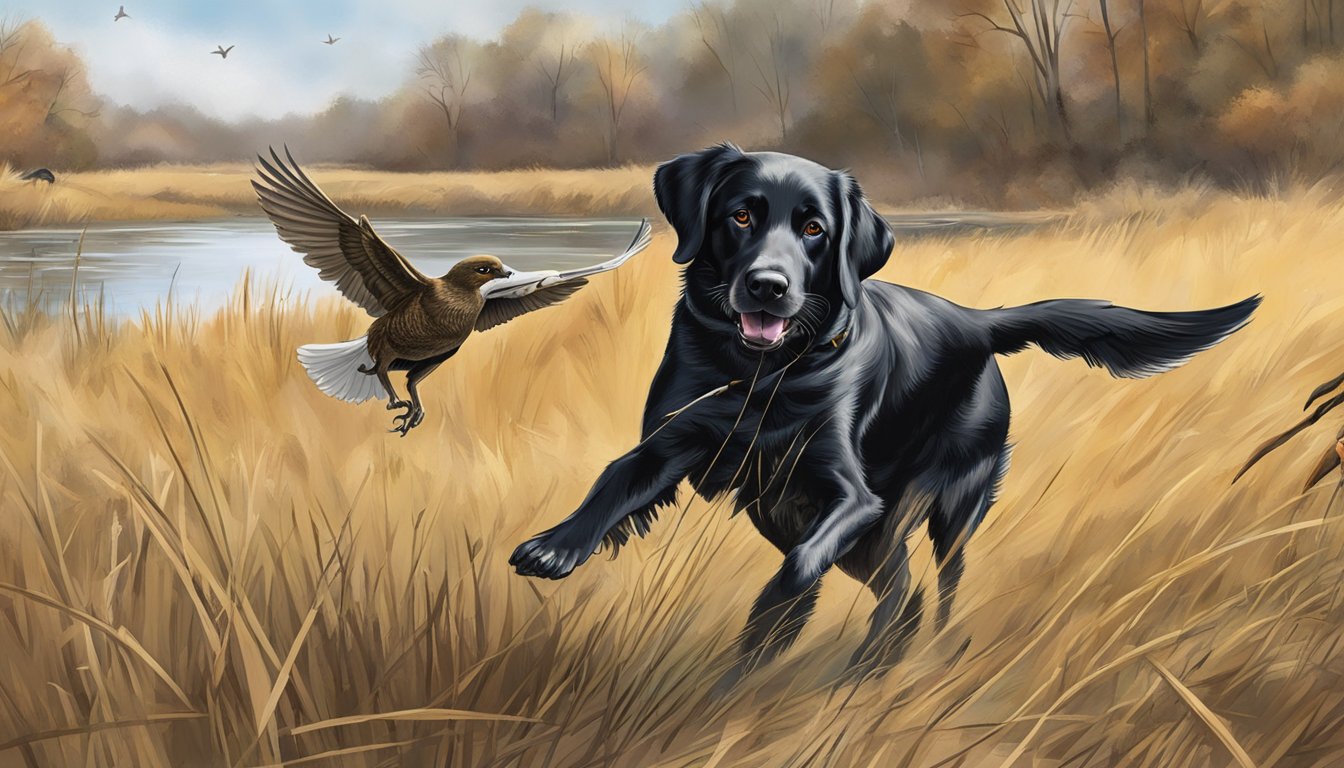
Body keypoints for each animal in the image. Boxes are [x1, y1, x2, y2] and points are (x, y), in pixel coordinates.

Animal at [510, 143, 1257, 688]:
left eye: (814, 229)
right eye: (741, 216)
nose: (768, 286)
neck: (761, 376)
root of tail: (978, 322)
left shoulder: (848, 497)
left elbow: (796, 570)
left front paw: (767, 628)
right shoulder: (675, 442)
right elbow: (612, 482)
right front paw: (555, 544)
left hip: (945, 509)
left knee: (943, 588)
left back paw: (923, 659)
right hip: (826, 526)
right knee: (904, 595)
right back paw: (871, 666)